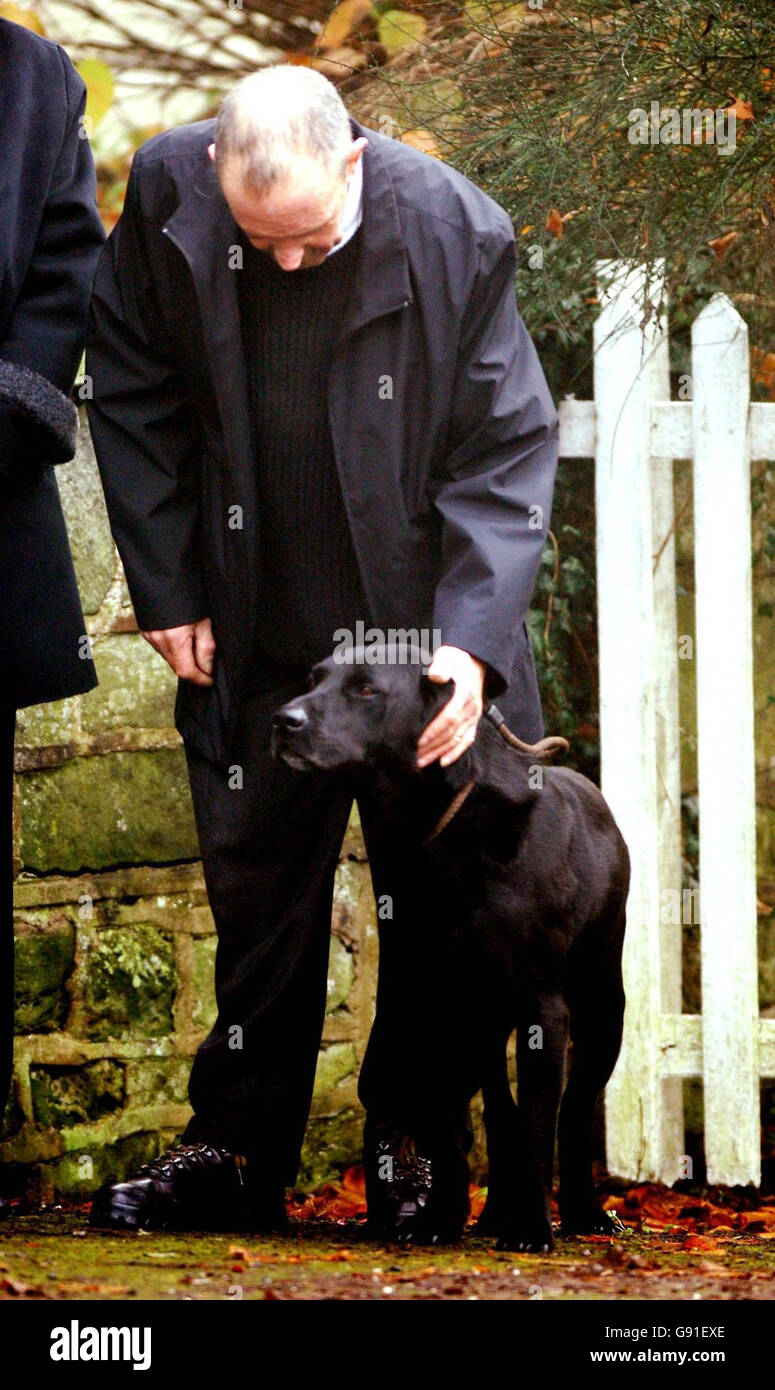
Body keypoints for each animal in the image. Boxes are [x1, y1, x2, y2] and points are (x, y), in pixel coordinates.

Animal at [273, 644, 633, 1256]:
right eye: (313, 678)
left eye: (366, 689)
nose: (282, 720)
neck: (447, 829)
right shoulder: (433, 998)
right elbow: (445, 1123)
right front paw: (441, 1218)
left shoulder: (542, 1009)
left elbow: (540, 1124)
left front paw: (532, 1229)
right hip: (482, 1025)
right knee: (499, 1113)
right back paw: (493, 1214)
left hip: (602, 1006)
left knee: (575, 1110)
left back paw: (582, 1212)